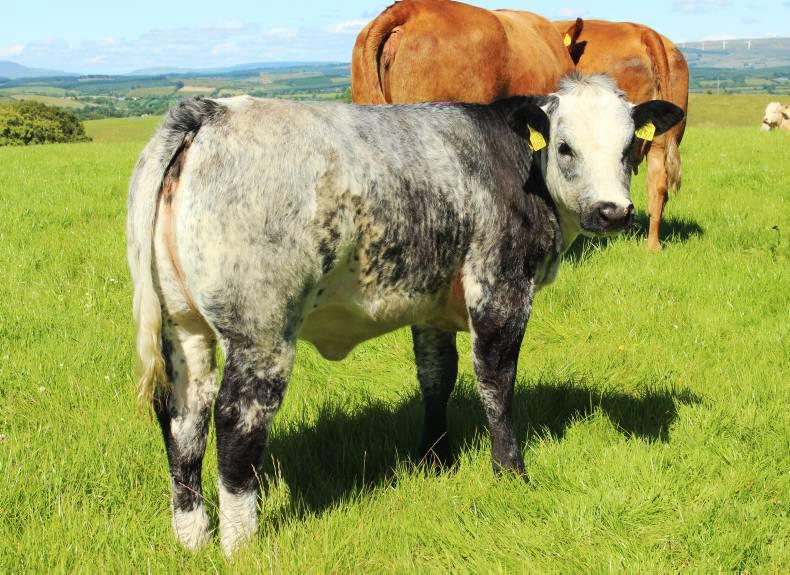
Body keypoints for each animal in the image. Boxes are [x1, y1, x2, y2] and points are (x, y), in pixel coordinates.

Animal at [128, 74, 684, 554]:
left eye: (629, 147)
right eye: (565, 147)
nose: (613, 211)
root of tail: (210, 111)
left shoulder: (431, 303)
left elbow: (436, 376)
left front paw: (434, 458)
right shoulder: (501, 290)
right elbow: (496, 383)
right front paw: (511, 472)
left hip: (184, 330)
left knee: (183, 418)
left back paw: (192, 538)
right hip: (261, 332)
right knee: (235, 421)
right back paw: (241, 545)